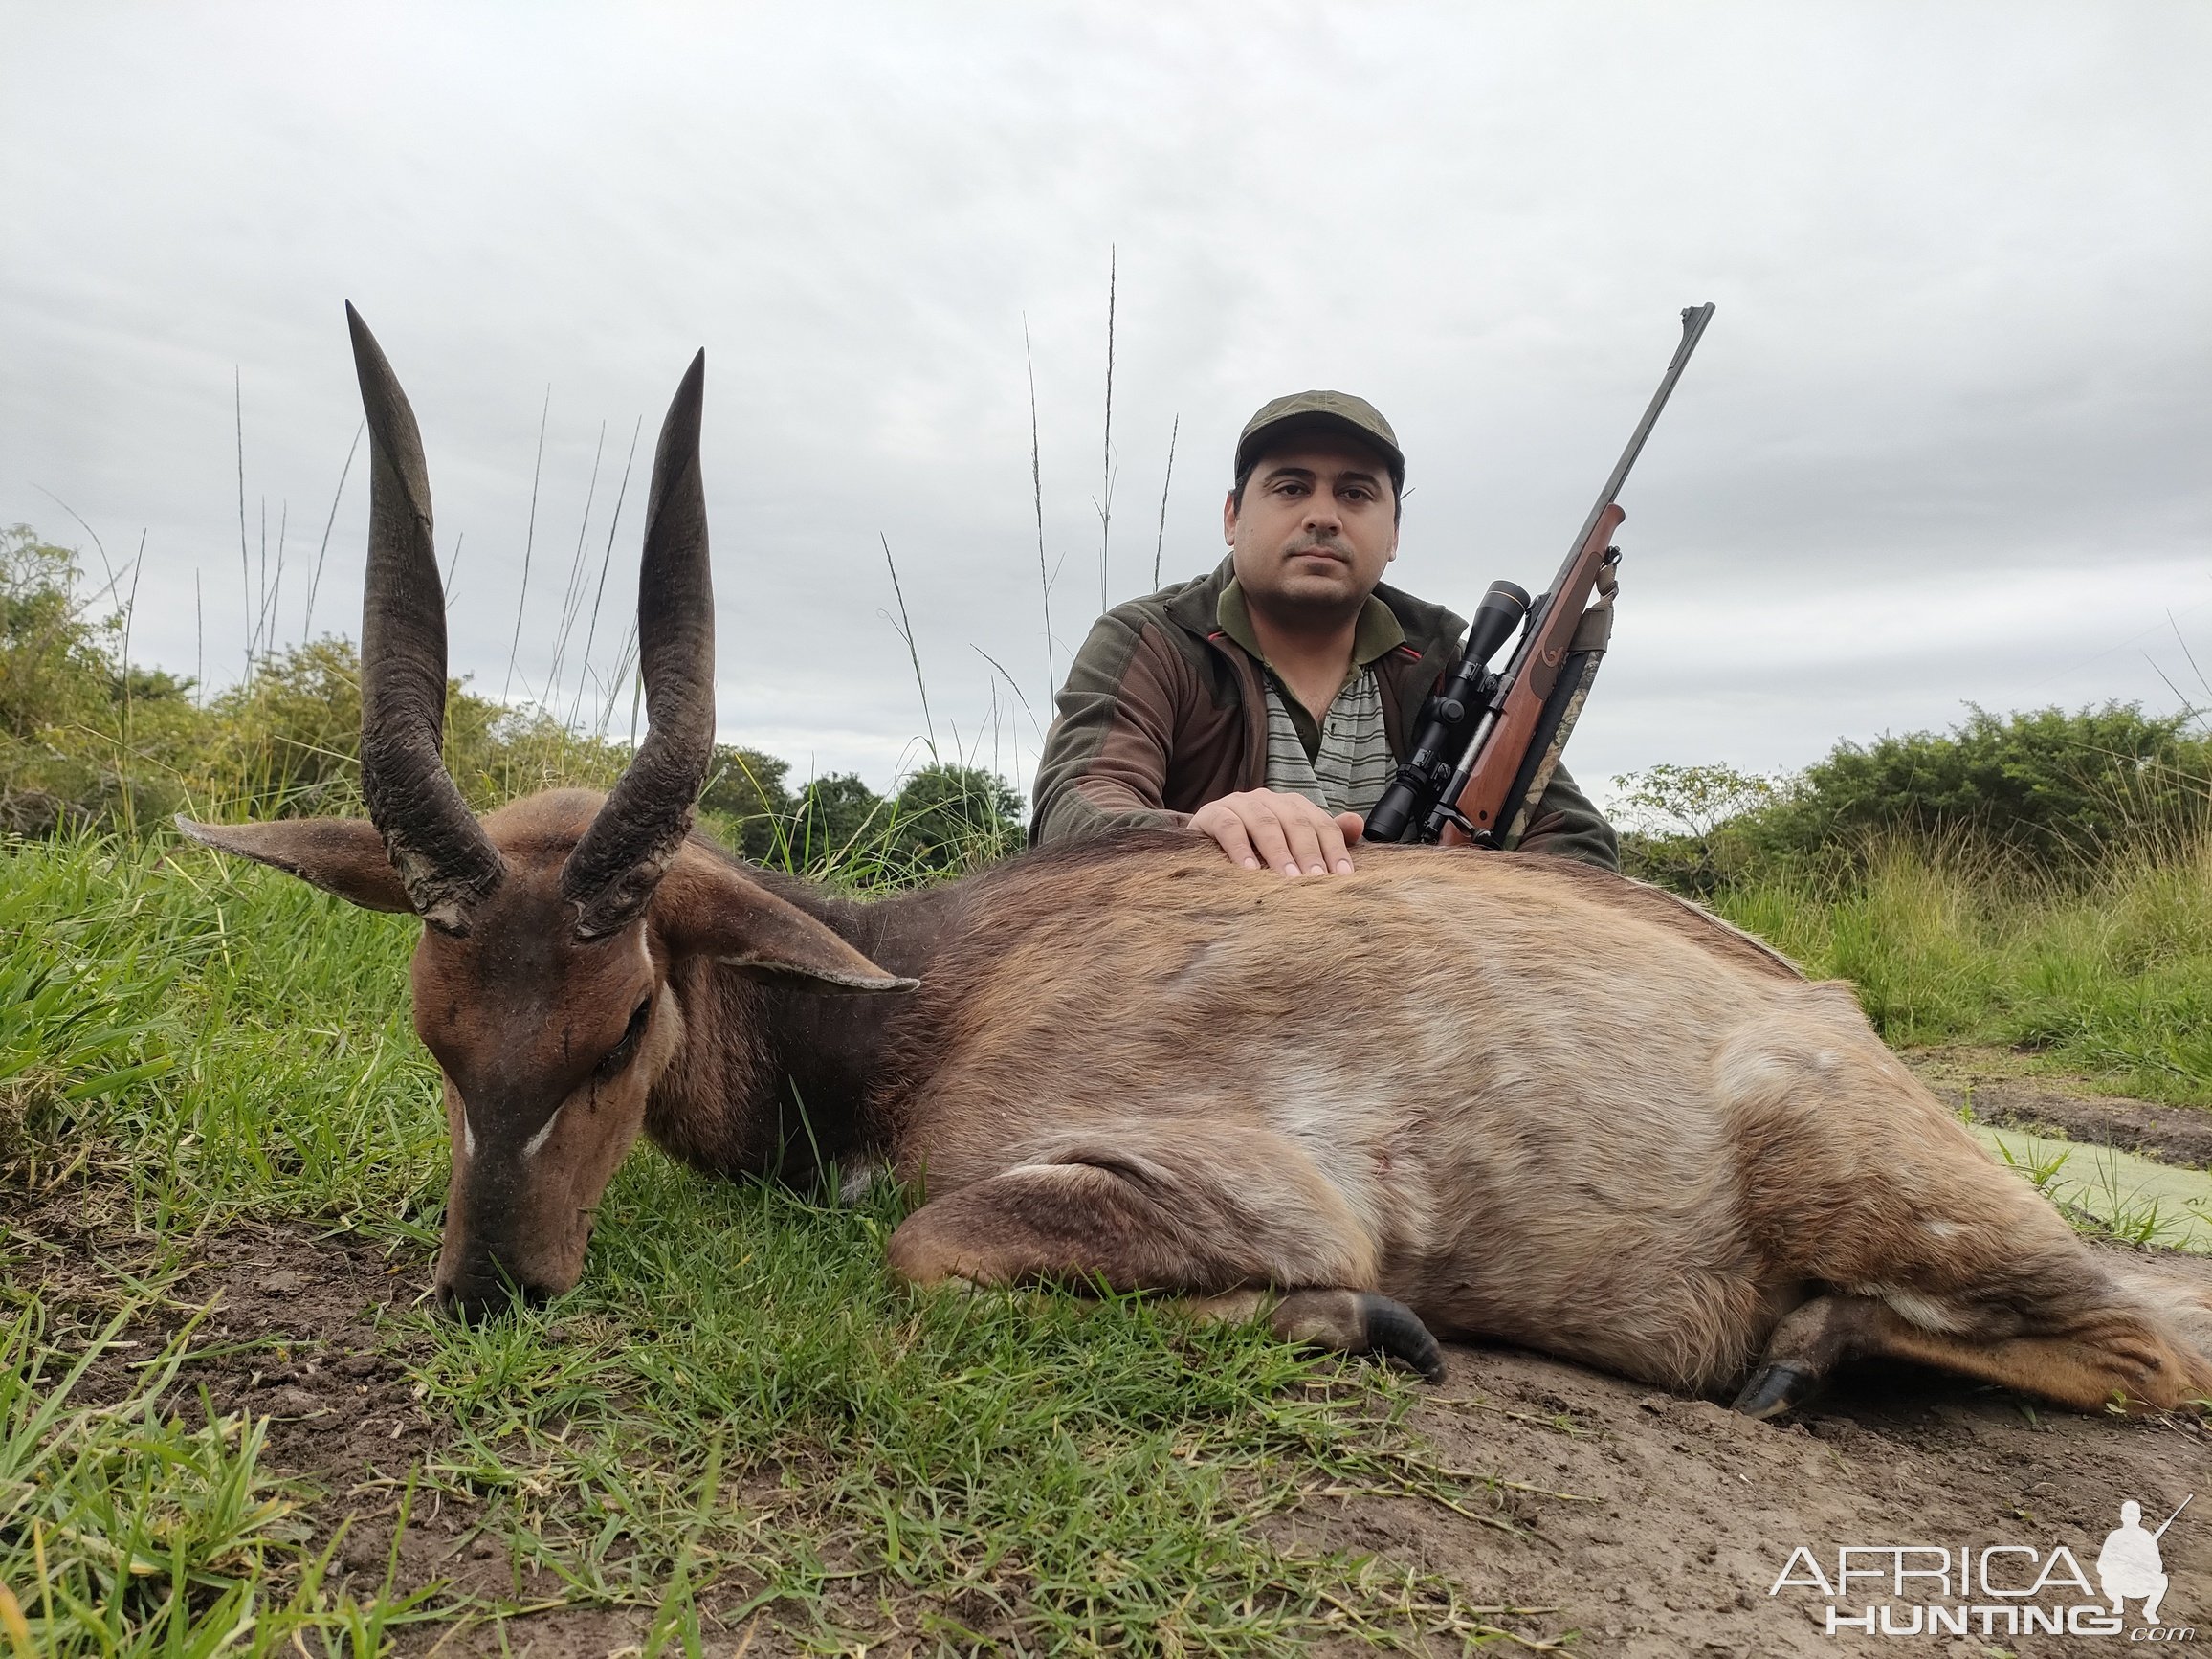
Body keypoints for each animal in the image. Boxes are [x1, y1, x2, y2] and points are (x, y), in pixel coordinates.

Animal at [189, 314, 2212, 1433]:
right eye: (437, 1029)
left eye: (615, 1026)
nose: (491, 1289)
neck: (924, 994)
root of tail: (1830, 1021)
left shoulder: (1228, 1185)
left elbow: (929, 1245)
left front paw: (1370, 1324)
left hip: (1914, 1205)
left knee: (2151, 1346)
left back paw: (1803, 1364)